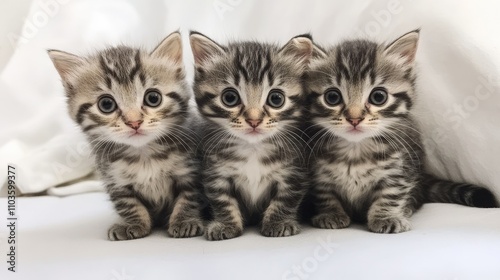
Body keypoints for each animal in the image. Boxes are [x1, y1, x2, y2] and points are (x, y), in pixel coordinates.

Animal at [47, 31, 203, 241]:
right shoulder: (116, 181)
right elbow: (128, 204)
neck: (144, 154)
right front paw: (133, 224)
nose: (134, 122)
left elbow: (189, 198)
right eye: (106, 104)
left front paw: (185, 221)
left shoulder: (189, 172)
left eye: (153, 98)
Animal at [190, 31, 312, 241]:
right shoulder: (216, 172)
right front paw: (226, 225)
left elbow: (285, 199)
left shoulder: (294, 172)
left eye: (276, 98)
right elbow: (222, 200)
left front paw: (278, 223)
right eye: (230, 98)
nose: (253, 120)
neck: (253, 148)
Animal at [306, 29, 498, 233]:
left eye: (378, 96)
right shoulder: (319, 174)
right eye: (332, 97)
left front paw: (386, 217)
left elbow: (391, 194)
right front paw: (330, 213)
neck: (355, 150)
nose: (354, 119)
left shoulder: (400, 169)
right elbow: (325, 195)